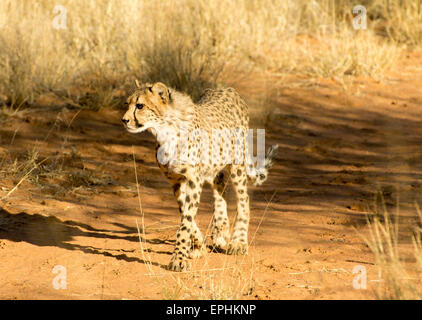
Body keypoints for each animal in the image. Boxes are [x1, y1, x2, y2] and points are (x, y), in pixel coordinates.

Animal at [120, 81, 278, 272]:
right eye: (127, 104)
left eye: (140, 106)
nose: (124, 120)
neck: (164, 129)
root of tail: (226, 88)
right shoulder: (176, 181)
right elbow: (185, 214)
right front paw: (198, 246)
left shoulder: (193, 180)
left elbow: (186, 221)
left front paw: (179, 259)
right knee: (220, 188)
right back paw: (220, 229)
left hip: (237, 164)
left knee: (243, 199)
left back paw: (238, 242)